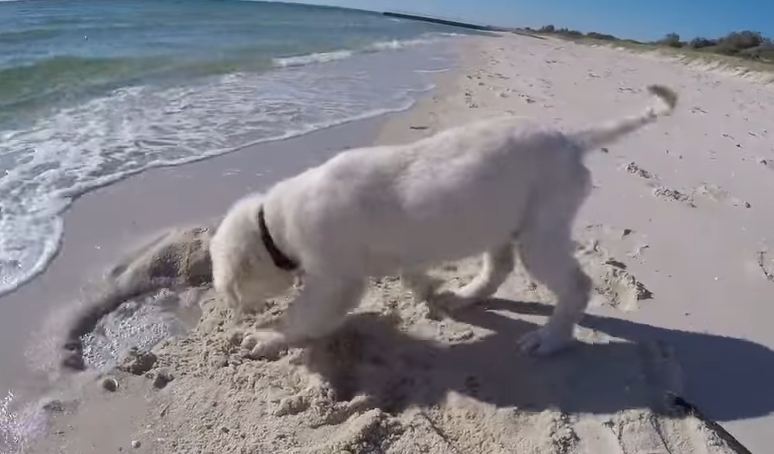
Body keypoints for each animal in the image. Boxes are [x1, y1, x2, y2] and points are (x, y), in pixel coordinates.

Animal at [209, 85, 676, 358]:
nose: (236, 313)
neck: (276, 222)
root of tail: (571, 140)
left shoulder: (335, 280)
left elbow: (305, 316)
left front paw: (269, 338)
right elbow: (413, 275)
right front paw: (429, 293)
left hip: (541, 231)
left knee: (576, 285)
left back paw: (550, 339)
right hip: (502, 220)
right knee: (499, 266)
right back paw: (463, 296)